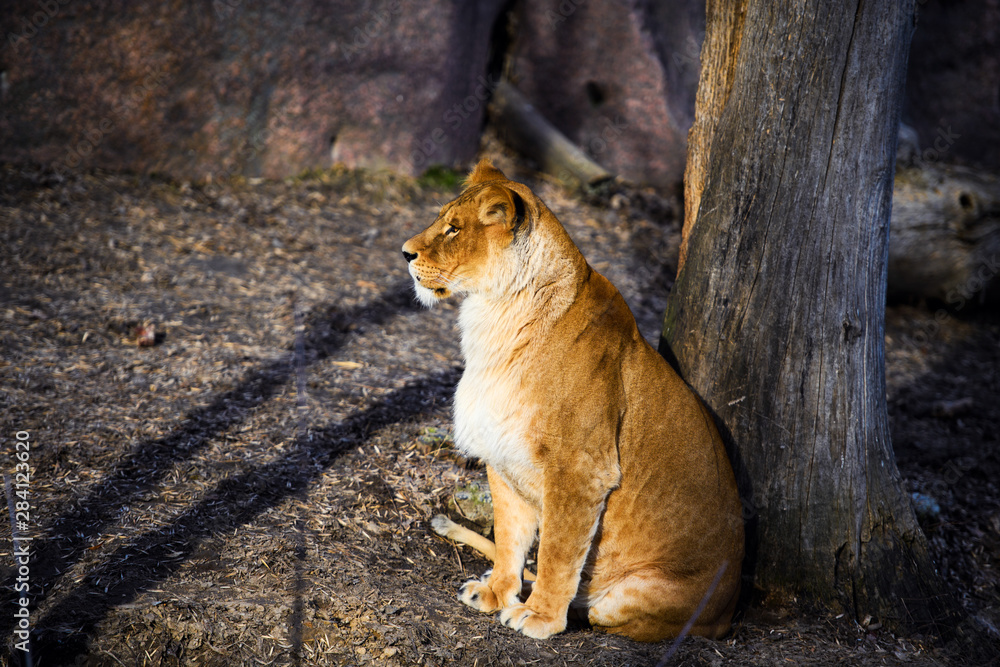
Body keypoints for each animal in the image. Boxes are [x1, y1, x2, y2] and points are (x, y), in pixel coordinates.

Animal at [401, 159, 744, 642]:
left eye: (453, 229)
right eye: (441, 220)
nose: (404, 253)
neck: (495, 317)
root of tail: (727, 616)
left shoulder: (580, 468)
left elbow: (557, 552)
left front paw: (540, 618)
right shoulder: (502, 451)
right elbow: (509, 535)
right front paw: (497, 592)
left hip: (634, 598)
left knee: (592, 607)